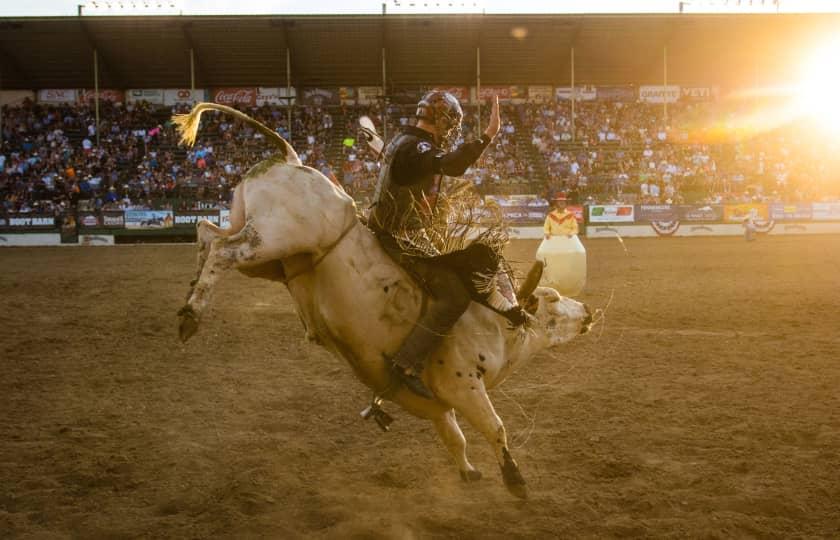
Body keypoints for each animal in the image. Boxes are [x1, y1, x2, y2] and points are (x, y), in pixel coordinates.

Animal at [176, 103, 592, 500]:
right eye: (552, 298)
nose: (587, 311)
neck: (495, 320)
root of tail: (291, 158)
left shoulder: (440, 404)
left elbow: (454, 437)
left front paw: (468, 472)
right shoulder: (464, 385)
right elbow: (496, 429)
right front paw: (515, 479)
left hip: (268, 255)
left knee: (207, 232)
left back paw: (192, 290)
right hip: (275, 237)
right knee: (223, 250)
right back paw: (191, 315)